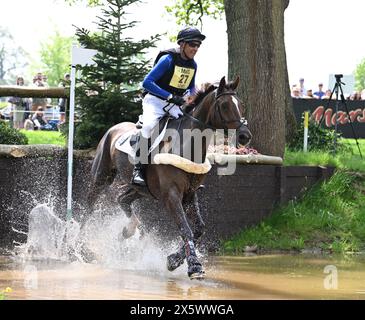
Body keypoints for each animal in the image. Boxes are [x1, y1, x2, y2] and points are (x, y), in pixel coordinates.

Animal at [87, 76, 252, 278]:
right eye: (225, 105)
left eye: (241, 105)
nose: (245, 136)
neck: (188, 145)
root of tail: (113, 128)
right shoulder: (171, 196)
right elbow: (186, 229)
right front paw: (194, 266)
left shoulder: (189, 195)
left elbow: (199, 229)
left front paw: (174, 260)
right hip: (101, 177)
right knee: (87, 209)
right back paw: (74, 247)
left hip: (140, 189)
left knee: (122, 199)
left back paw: (128, 230)